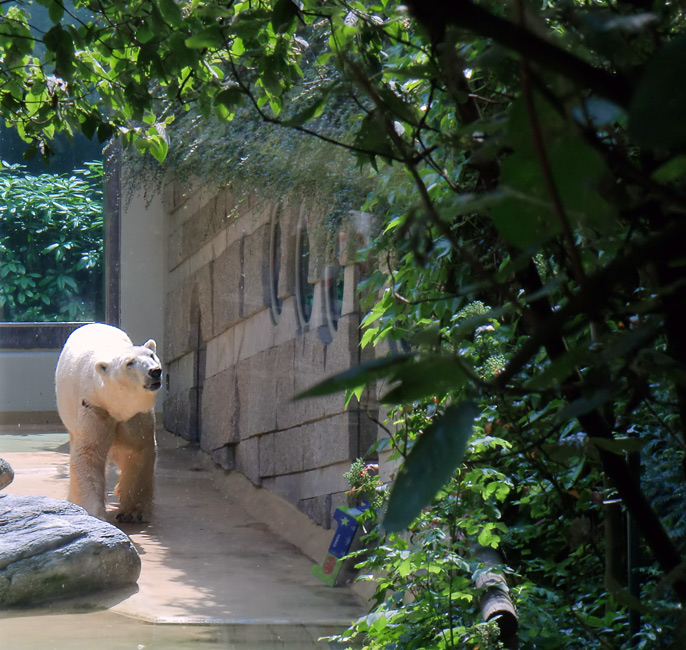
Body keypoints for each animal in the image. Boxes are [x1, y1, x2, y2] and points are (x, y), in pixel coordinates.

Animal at [55, 324, 163, 520]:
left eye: (151, 355)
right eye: (129, 363)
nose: (155, 371)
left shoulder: (135, 414)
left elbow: (136, 450)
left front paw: (132, 512)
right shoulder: (93, 406)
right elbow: (88, 453)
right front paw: (95, 514)